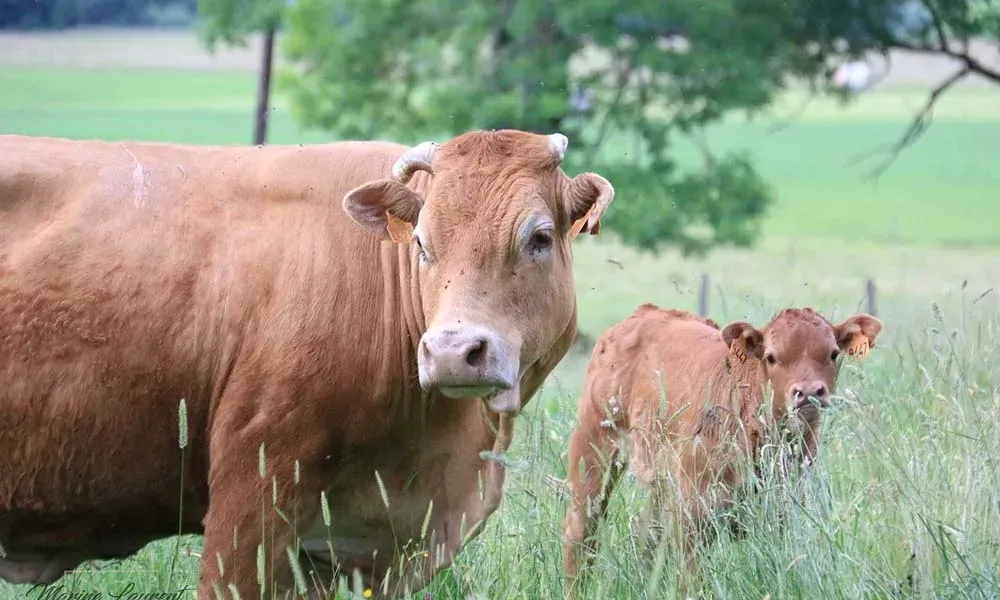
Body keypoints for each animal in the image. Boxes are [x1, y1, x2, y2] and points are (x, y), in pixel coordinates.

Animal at [562, 303, 882, 597]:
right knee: (581, 530)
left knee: (648, 535)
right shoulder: (694, 512)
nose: (809, 393)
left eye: (833, 353)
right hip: (594, 451)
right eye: (771, 356)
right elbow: (691, 580)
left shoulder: (784, 507)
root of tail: (643, 314)